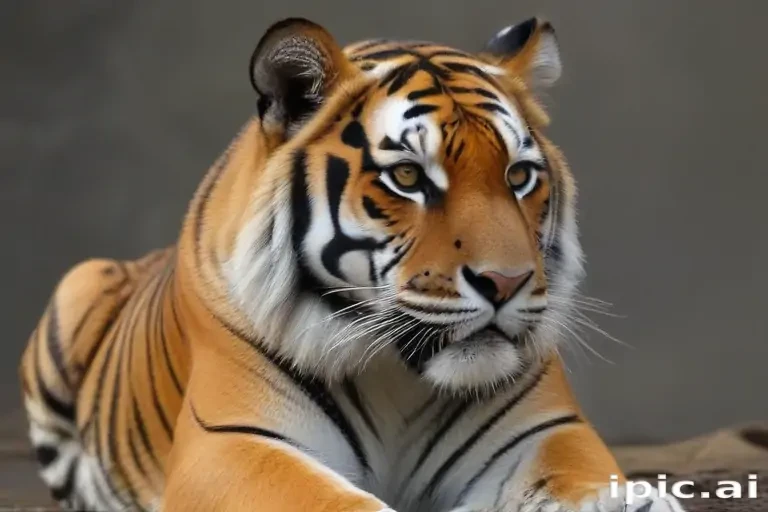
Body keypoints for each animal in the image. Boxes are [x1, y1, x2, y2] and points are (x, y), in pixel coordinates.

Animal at [19, 16, 685, 512]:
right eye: (409, 178)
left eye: (518, 176)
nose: (507, 282)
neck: (399, 375)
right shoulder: (233, 442)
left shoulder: (545, 432)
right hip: (78, 285)